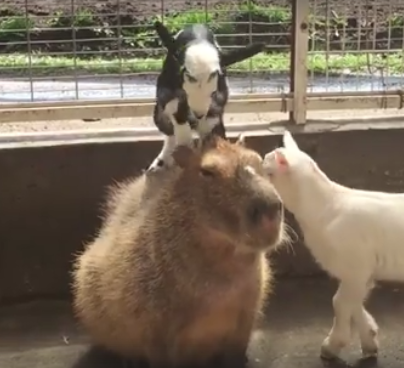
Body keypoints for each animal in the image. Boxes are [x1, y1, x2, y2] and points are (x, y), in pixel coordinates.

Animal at [148, 22, 266, 172]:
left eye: (212, 92)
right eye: (186, 75)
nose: (198, 115)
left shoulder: (221, 90)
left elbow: (215, 111)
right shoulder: (167, 89)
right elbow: (176, 110)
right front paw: (185, 141)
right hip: (159, 117)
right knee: (170, 136)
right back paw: (160, 163)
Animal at [262, 132, 404, 360]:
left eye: (268, 172)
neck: (323, 207)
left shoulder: (356, 265)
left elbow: (339, 302)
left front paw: (331, 346)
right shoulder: (359, 271)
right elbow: (354, 302)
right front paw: (369, 340)